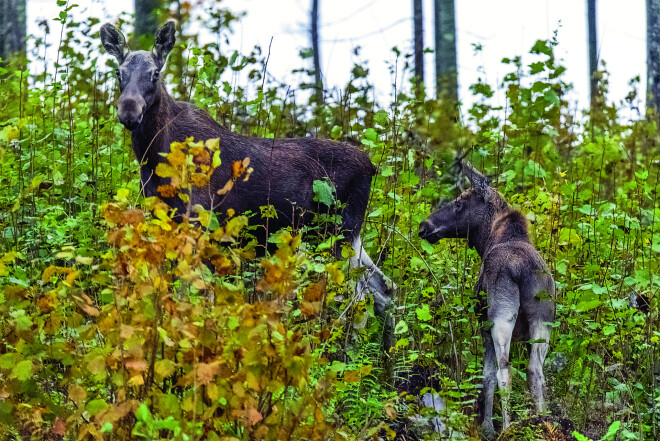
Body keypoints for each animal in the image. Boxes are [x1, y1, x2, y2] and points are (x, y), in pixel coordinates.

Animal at [100, 21, 394, 316]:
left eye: (155, 73)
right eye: (118, 72)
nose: (129, 111)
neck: (155, 157)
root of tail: (371, 166)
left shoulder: (199, 219)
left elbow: (196, 294)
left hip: (339, 229)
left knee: (358, 293)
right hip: (341, 233)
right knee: (383, 287)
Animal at [420, 160, 556, 438]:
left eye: (459, 202)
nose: (424, 226)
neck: (486, 240)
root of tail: (521, 269)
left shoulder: (483, 324)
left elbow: (488, 375)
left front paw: (488, 428)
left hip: (501, 317)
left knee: (506, 370)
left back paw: (506, 428)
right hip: (543, 319)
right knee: (535, 370)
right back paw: (542, 422)